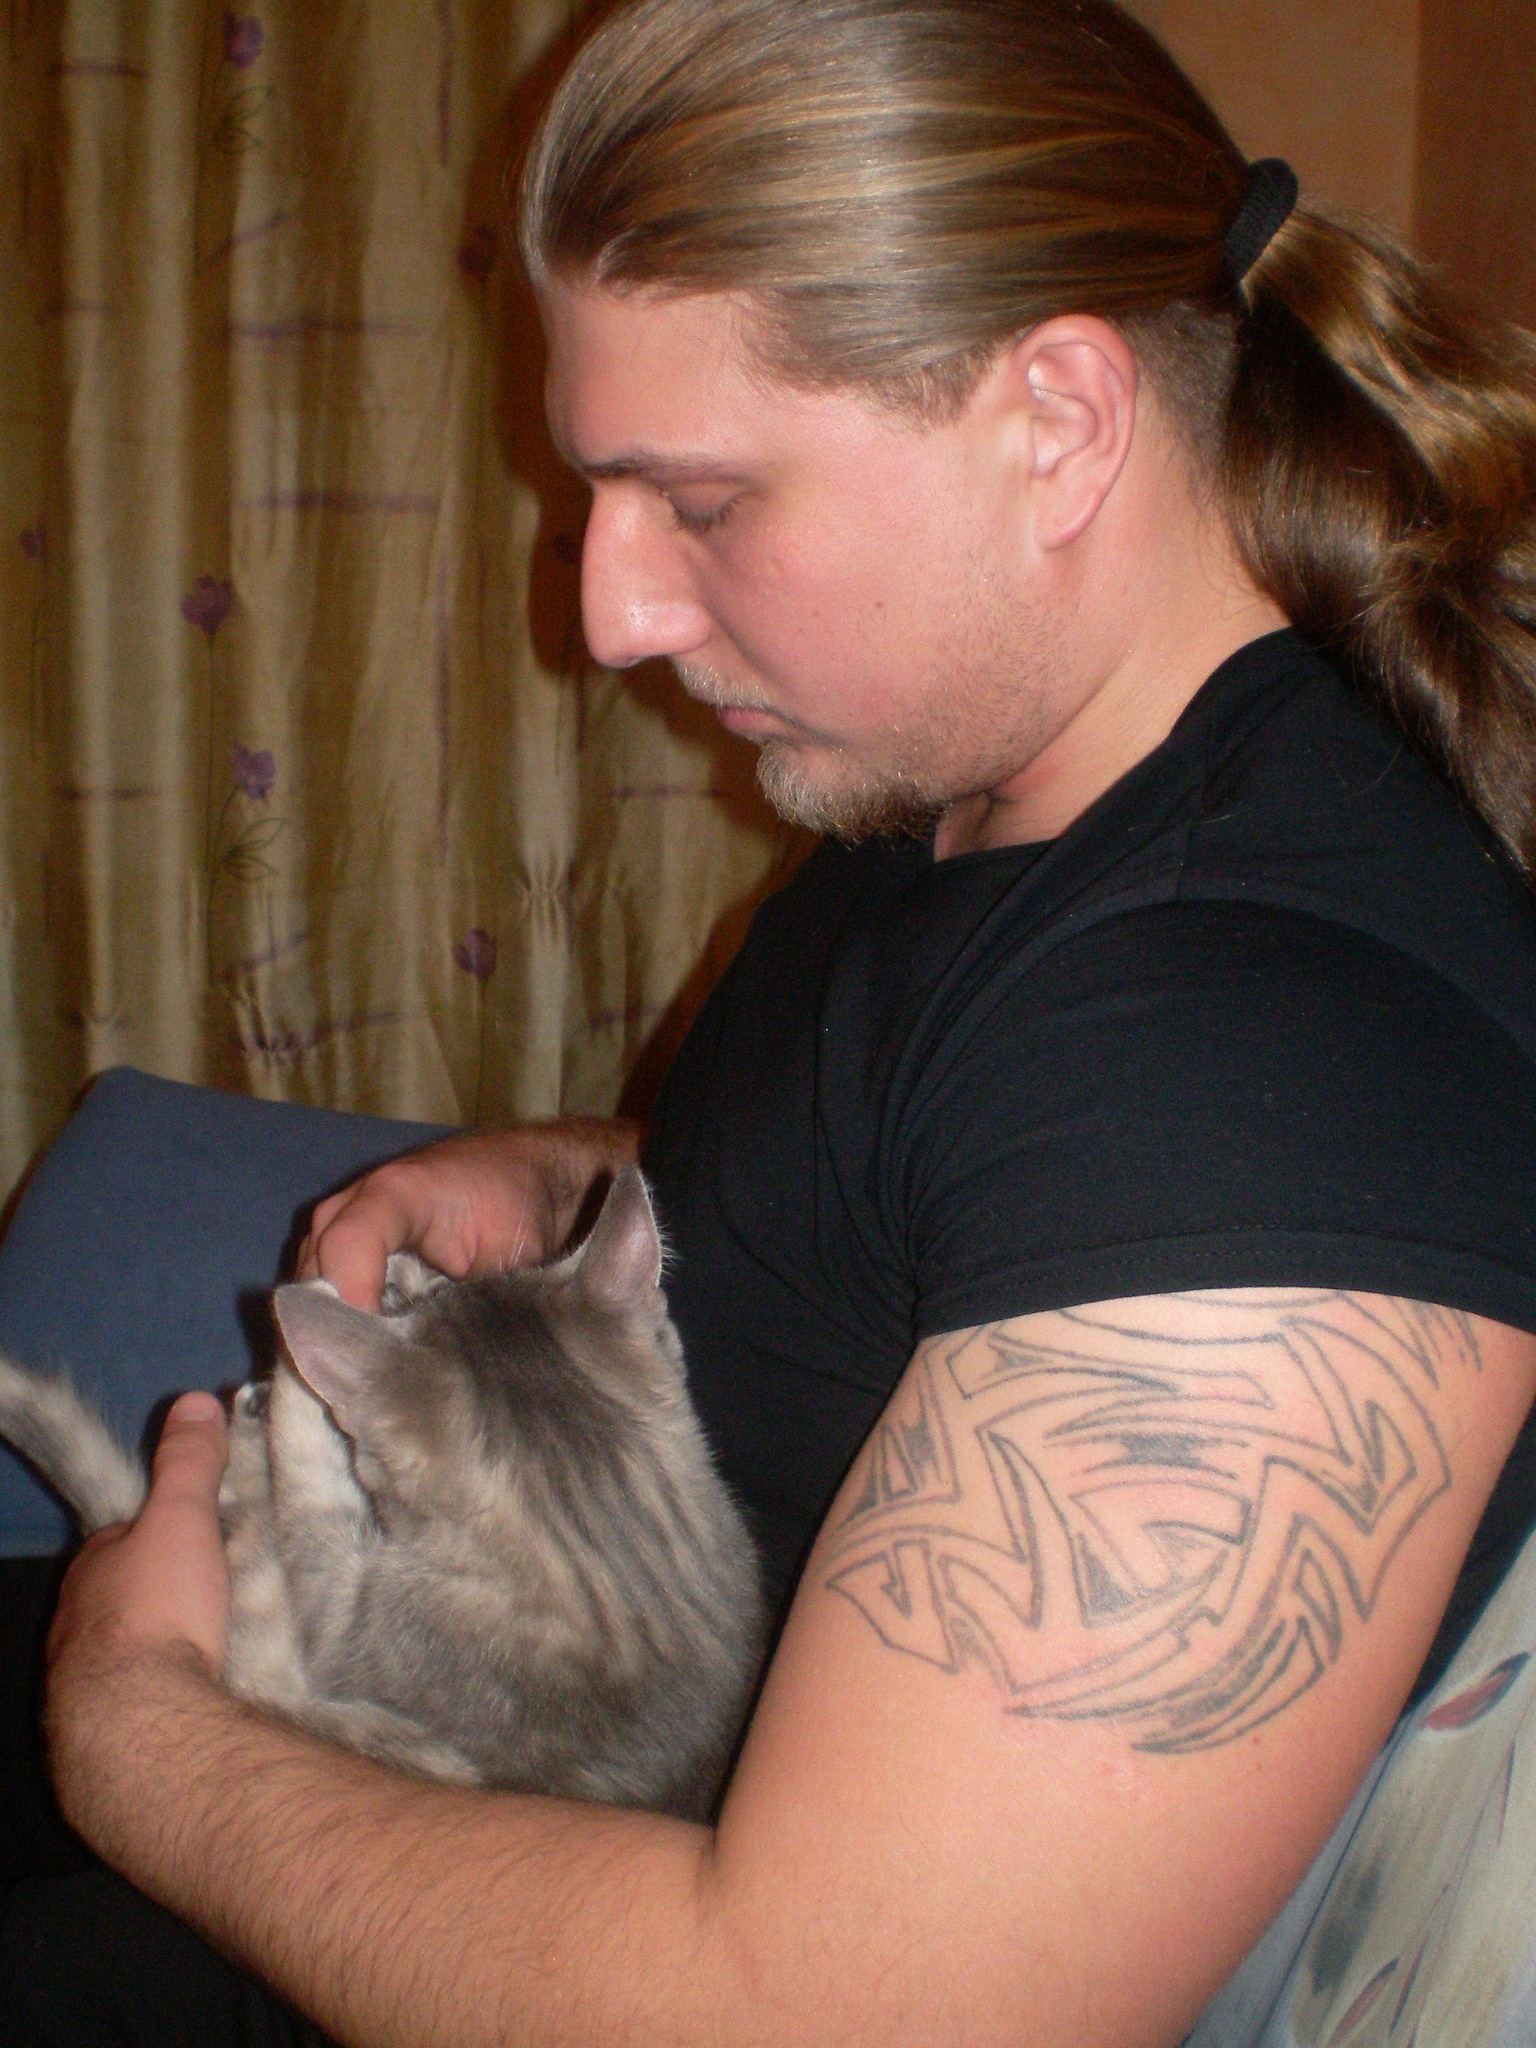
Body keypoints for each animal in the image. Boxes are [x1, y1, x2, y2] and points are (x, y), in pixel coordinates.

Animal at [0, 1166, 763, 1822]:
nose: (399, 1273)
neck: (619, 1571)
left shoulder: (366, 1640)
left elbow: (308, 1514)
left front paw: (297, 1358)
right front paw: (404, 1269)